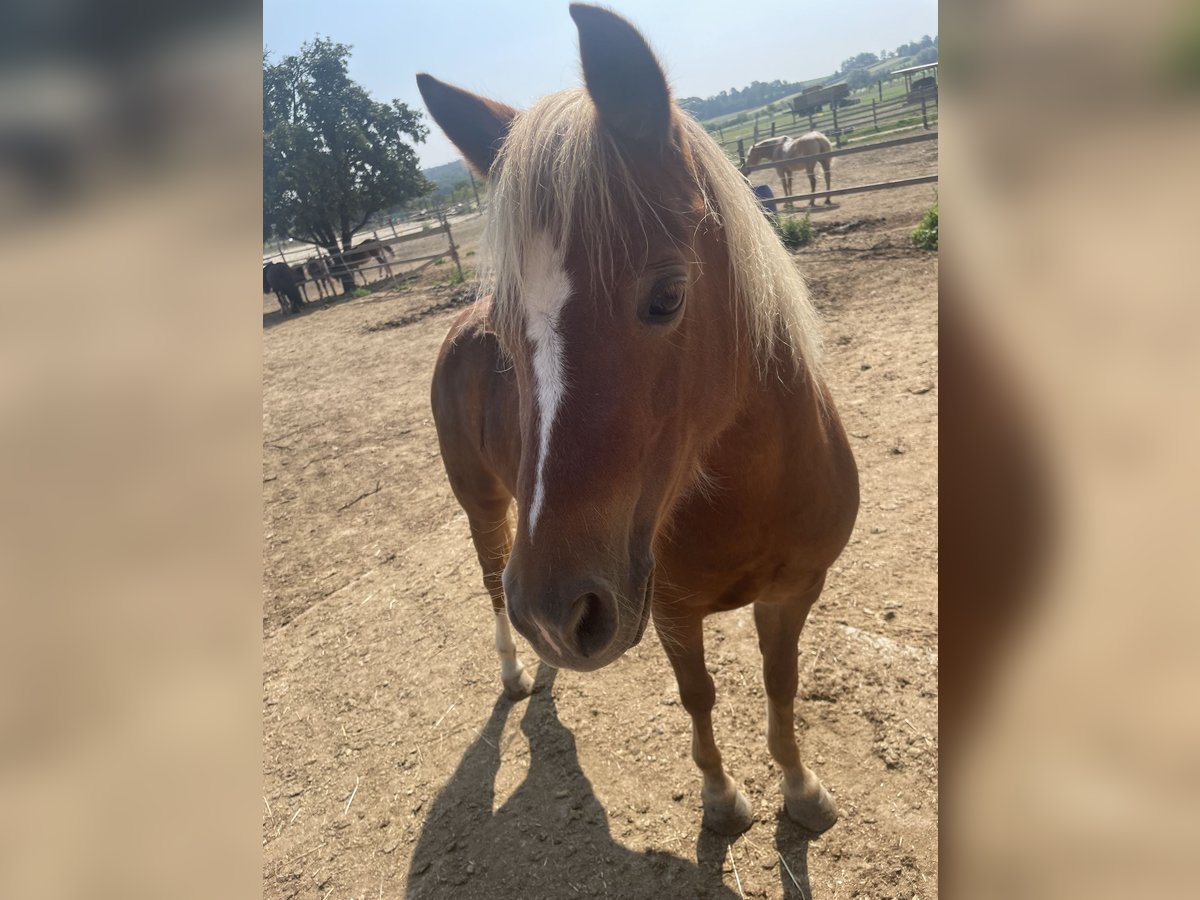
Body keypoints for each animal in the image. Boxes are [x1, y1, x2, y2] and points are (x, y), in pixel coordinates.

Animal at [417, 3, 859, 844]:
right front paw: (721, 799)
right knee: (491, 578)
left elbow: (780, 686)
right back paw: (515, 667)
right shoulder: (672, 612)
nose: (553, 614)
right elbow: (700, 697)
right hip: (483, 506)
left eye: (666, 296)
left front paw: (803, 788)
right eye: (511, 335)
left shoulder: (795, 592)